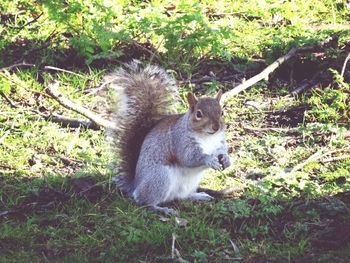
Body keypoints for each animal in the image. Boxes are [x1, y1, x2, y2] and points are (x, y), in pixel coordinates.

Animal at [108, 60, 231, 216]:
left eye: (222, 112)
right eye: (198, 114)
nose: (216, 127)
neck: (207, 137)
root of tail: (135, 185)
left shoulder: (219, 142)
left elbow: (222, 150)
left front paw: (226, 159)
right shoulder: (180, 141)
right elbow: (188, 157)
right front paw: (209, 159)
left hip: (187, 184)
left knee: (181, 196)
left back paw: (198, 196)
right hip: (160, 178)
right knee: (144, 201)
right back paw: (162, 209)